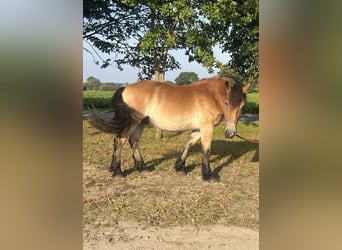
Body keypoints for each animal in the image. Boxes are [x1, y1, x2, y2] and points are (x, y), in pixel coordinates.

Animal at [89, 75, 248, 180]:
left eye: (242, 105)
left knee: (134, 141)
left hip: (141, 123)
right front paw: (208, 175)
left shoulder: (199, 129)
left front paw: (180, 167)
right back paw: (118, 172)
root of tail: (125, 87)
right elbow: (206, 150)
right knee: (119, 141)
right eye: (227, 103)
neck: (210, 96)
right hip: (133, 121)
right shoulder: (207, 127)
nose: (230, 133)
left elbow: (189, 144)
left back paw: (142, 168)